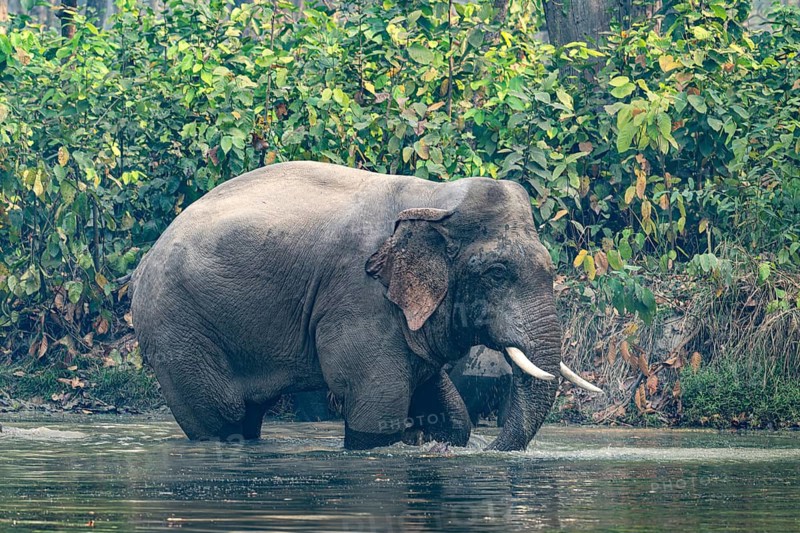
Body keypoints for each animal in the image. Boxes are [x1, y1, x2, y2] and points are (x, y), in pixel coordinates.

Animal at [130, 161, 600, 451]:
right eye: (497, 273)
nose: (492, 451)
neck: (434, 198)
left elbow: (447, 411)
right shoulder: (359, 296)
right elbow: (377, 412)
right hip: (178, 331)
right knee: (220, 420)